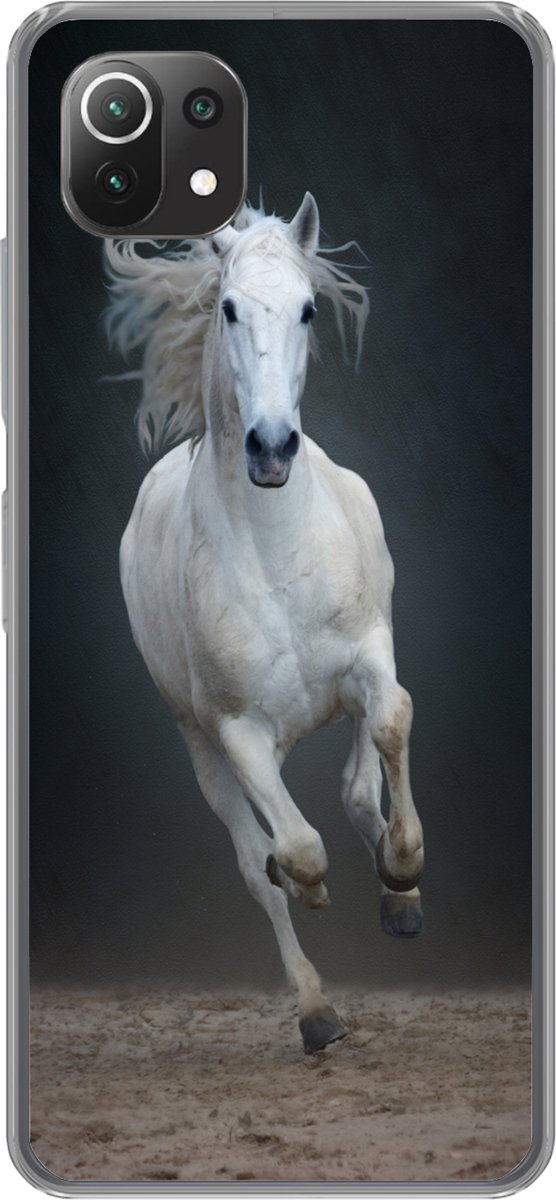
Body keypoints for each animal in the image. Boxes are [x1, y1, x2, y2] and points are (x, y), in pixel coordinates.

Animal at [104, 193, 424, 1054]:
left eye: (308, 308)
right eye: (228, 308)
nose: (273, 447)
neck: (278, 554)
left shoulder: (370, 655)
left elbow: (391, 725)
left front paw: (404, 873)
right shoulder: (237, 731)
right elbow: (295, 850)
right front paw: (312, 888)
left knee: (356, 786)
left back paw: (396, 898)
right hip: (200, 741)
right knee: (259, 860)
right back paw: (316, 1014)